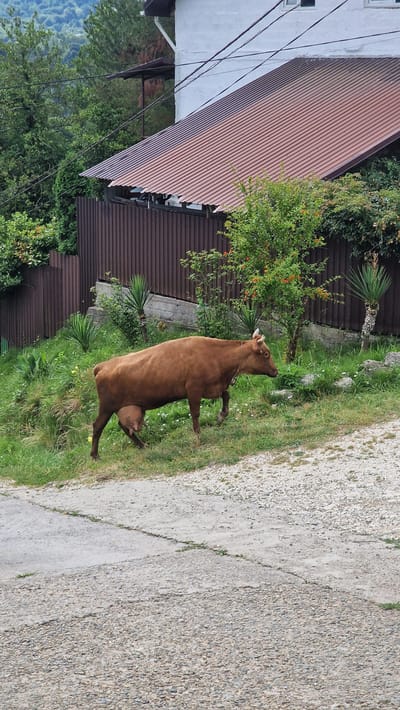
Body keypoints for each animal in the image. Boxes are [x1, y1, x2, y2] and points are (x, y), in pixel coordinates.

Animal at [90, 329, 278, 458]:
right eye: (266, 353)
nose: (276, 371)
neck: (216, 356)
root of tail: (103, 365)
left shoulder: (214, 387)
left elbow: (226, 396)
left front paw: (221, 416)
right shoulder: (194, 389)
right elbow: (195, 414)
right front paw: (198, 437)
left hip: (131, 406)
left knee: (123, 426)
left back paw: (142, 446)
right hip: (107, 406)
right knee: (98, 426)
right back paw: (95, 455)